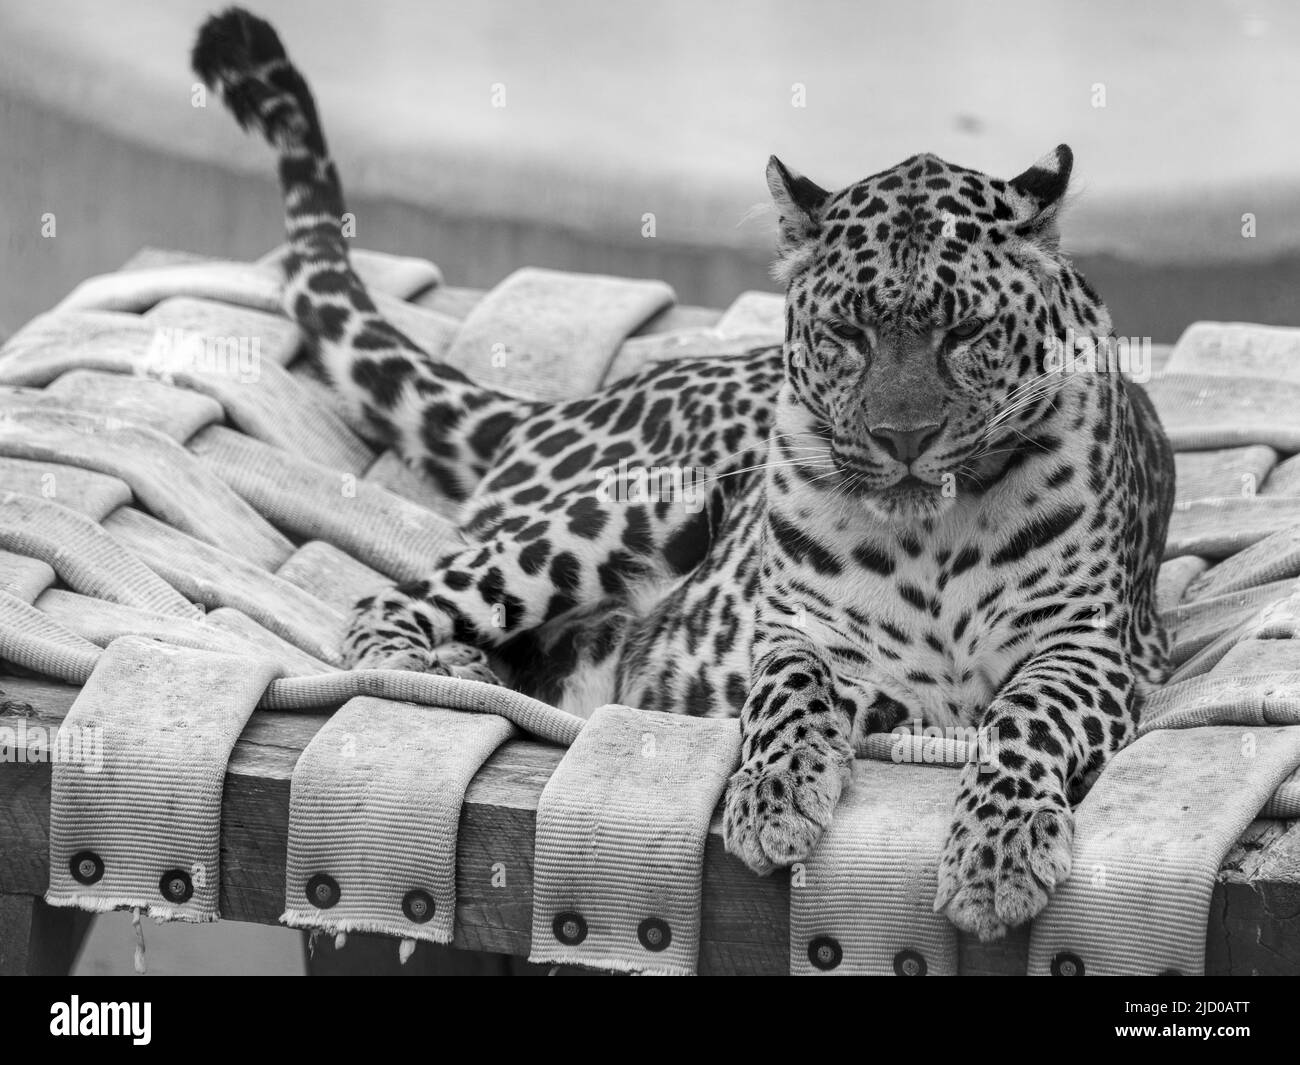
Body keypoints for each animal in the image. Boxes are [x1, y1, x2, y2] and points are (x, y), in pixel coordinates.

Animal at [192, 8, 1180, 941]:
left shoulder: (1093, 646)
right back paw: (434, 670)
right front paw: (775, 798)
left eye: (966, 332)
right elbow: (791, 689)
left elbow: (1024, 719)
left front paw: (998, 855)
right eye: (848, 334)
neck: (931, 532)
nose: (903, 438)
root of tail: (569, 404)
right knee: (394, 602)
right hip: (628, 509)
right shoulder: (798, 629)